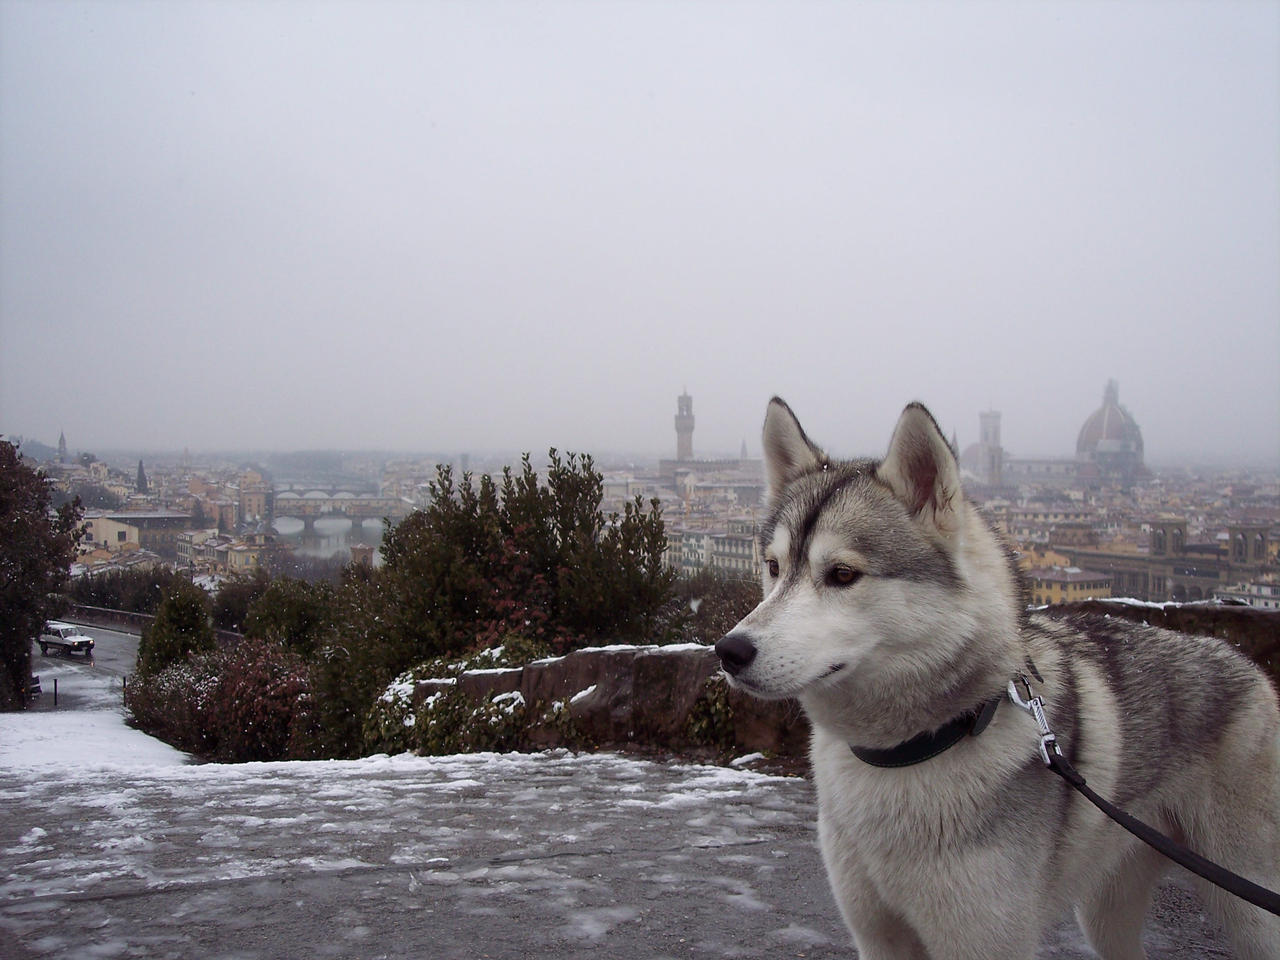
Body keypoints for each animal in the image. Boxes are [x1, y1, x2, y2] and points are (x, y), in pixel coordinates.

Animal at [716, 399, 1274, 960]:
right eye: (772, 566)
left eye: (843, 575)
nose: (729, 651)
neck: (911, 751)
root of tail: (1241, 660)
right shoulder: (878, 936)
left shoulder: (983, 938)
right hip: (1108, 906)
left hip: (1246, 903)